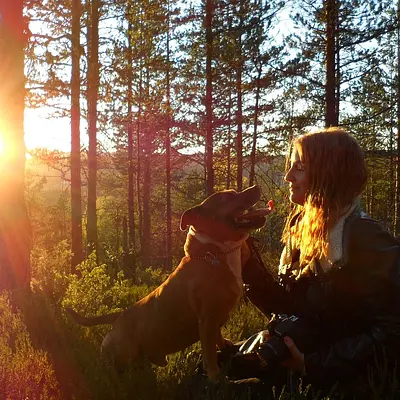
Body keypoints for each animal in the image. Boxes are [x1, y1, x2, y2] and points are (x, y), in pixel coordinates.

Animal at [67, 186, 270, 380]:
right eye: (227, 197)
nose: (255, 186)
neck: (216, 252)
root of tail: (118, 316)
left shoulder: (214, 321)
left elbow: (217, 339)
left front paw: (226, 347)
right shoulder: (207, 320)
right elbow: (210, 353)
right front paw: (216, 377)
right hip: (124, 351)